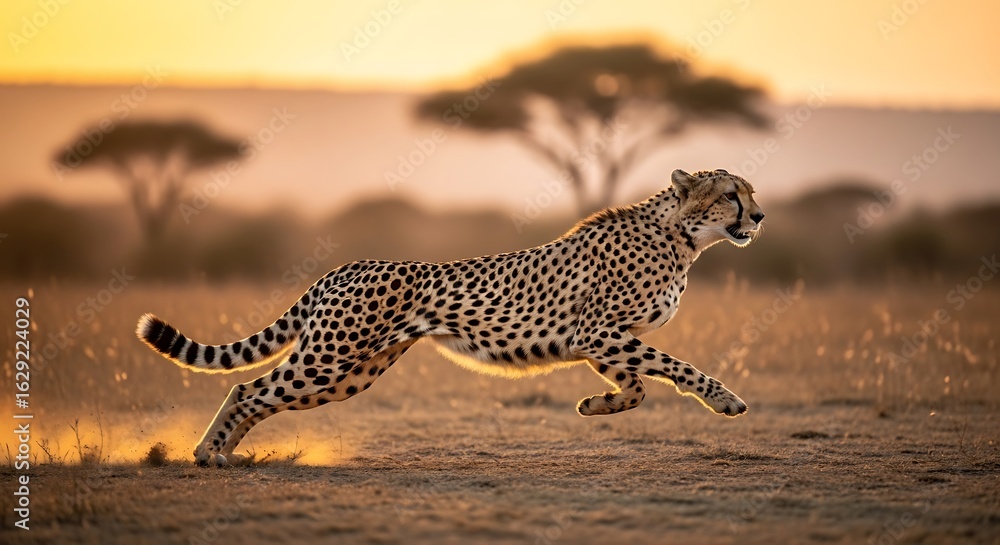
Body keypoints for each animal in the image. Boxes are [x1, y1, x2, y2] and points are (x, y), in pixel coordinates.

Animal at [136, 168, 764, 466]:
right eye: (730, 194)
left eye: (751, 193)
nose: (759, 216)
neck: (684, 238)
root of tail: (343, 266)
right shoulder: (599, 332)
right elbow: (674, 367)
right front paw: (726, 400)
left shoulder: (601, 341)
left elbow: (636, 386)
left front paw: (594, 405)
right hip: (330, 359)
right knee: (248, 389)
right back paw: (208, 453)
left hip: (351, 372)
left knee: (261, 396)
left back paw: (224, 453)